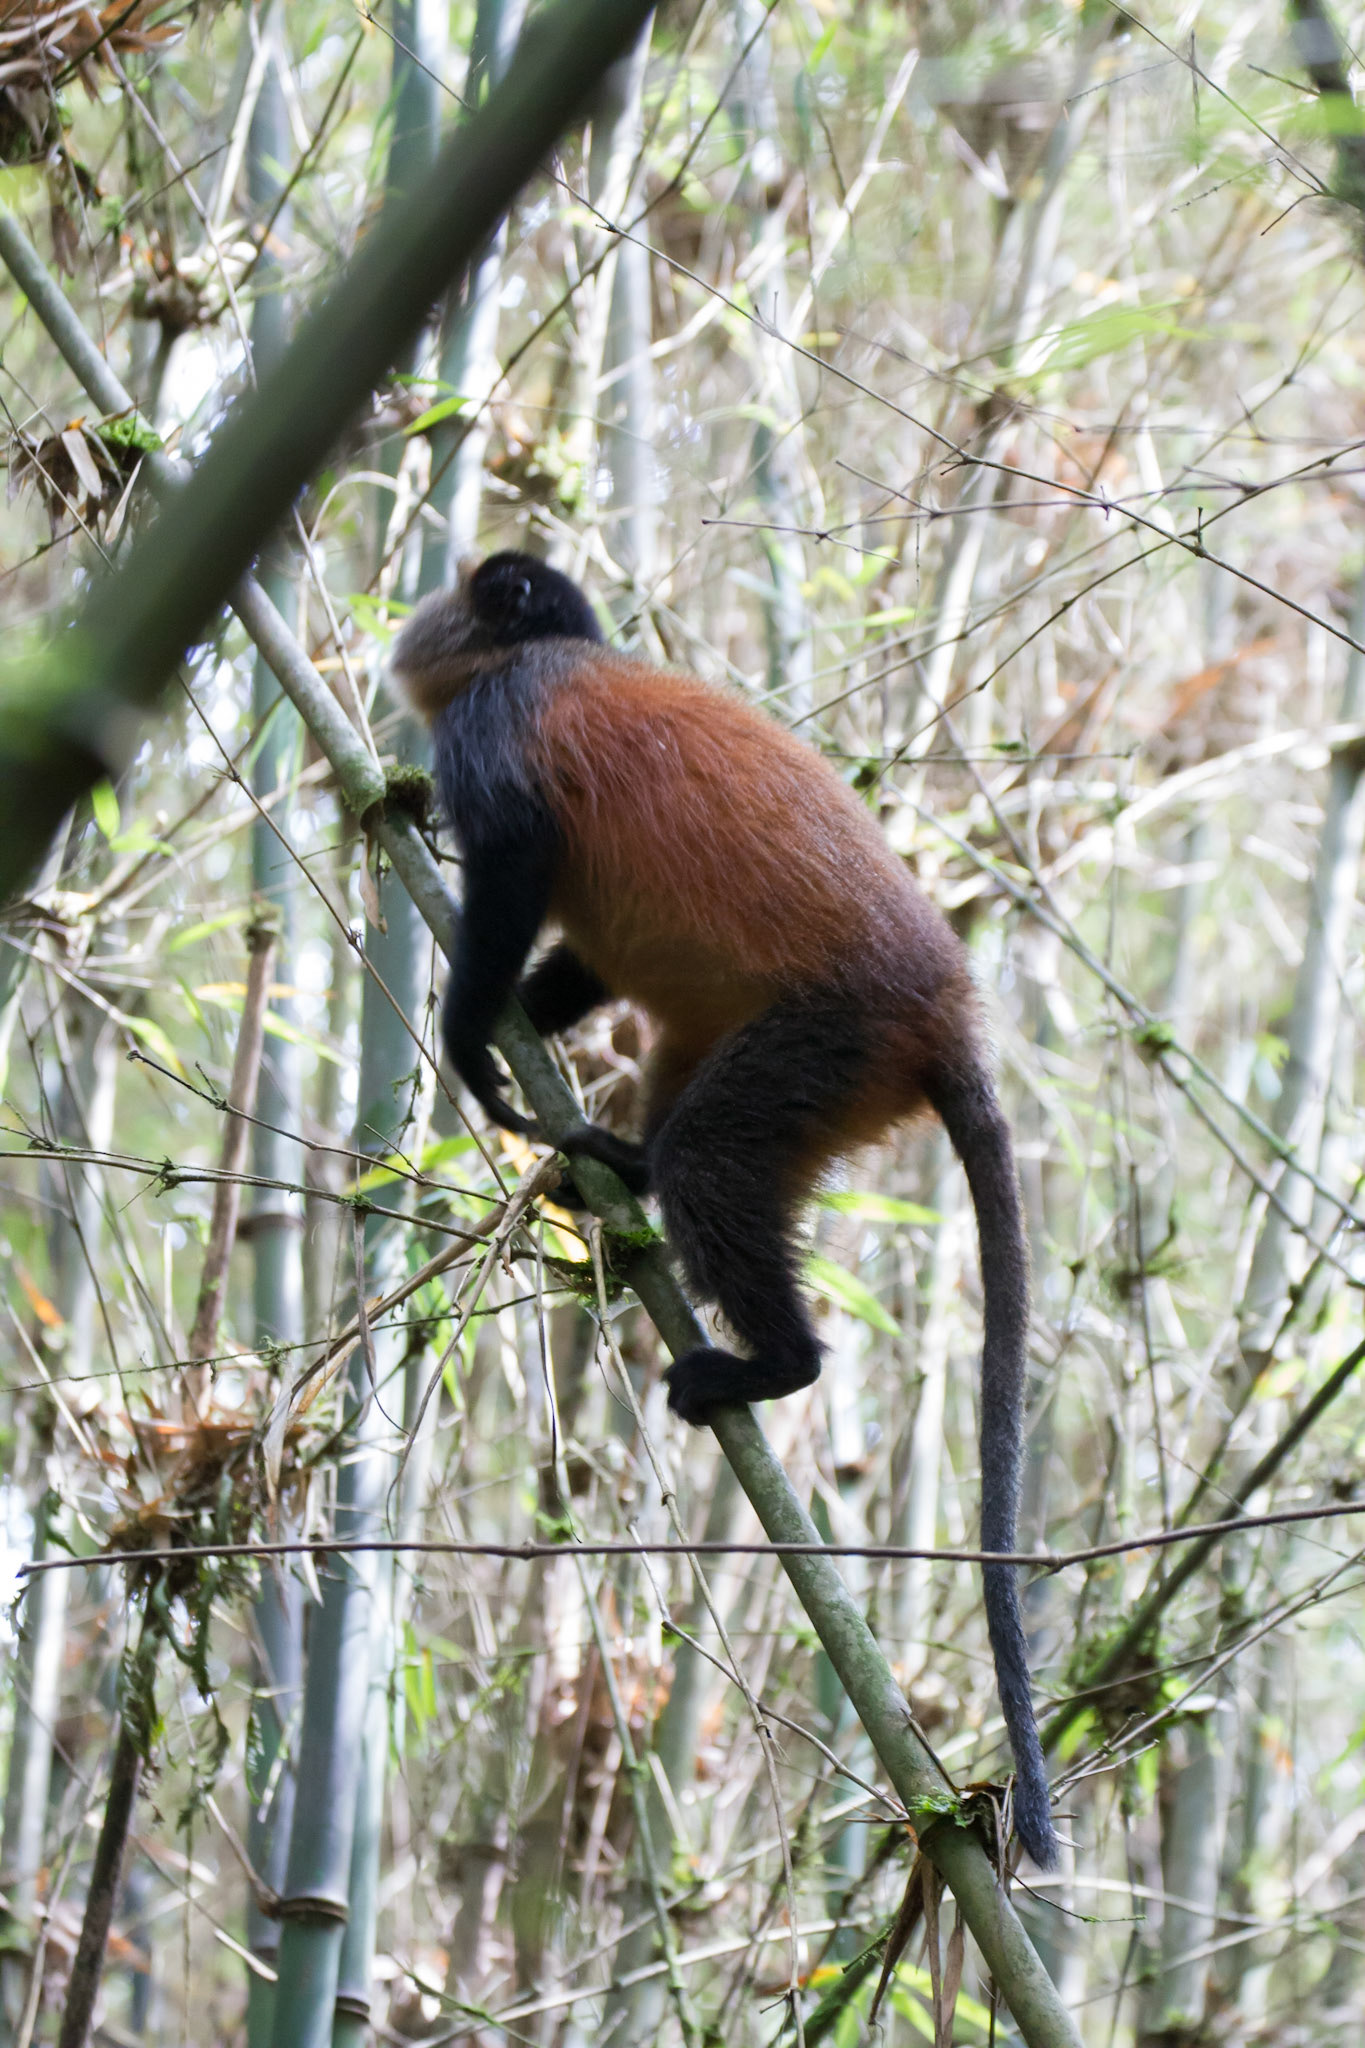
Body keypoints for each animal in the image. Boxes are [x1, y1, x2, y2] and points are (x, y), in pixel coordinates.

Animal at [391, 549, 1058, 1869]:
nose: (422, 613)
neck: (546, 652)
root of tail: (944, 1012)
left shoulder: (498, 722)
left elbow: (517, 859)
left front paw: (473, 1041)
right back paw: (618, 1169)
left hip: (829, 1044)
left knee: (709, 1157)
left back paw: (776, 1360)